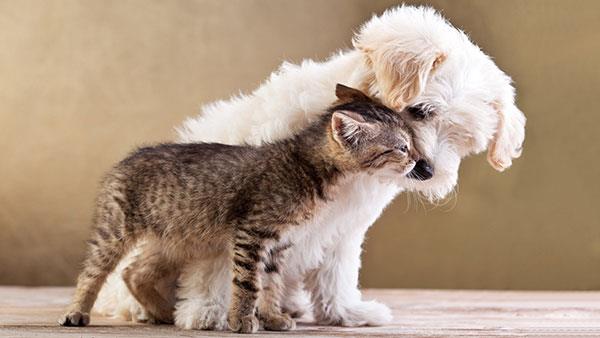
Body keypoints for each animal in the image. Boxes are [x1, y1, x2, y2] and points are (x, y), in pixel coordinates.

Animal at [58, 84, 420, 332]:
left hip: (177, 239)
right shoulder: (252, 233)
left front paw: (273, 316)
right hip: (115, 230)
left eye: (410, 144)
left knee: (134, 272)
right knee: (93, 271)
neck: (308, 167)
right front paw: (242, 320)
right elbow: (248, 282)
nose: (419, 161)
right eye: (402, 147)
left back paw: (163, 313)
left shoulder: (279, 243)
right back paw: (77, 312)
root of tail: (127, 157)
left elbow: (271, 285)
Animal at [94, 4, 524, 328]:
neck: (343, 163)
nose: (429, 170)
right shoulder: (236, 207)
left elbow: (338, 269)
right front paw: (209, 311)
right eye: (420, 111)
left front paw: (345, 312)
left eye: (463, 140)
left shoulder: (345, 225)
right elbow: (219, 264)